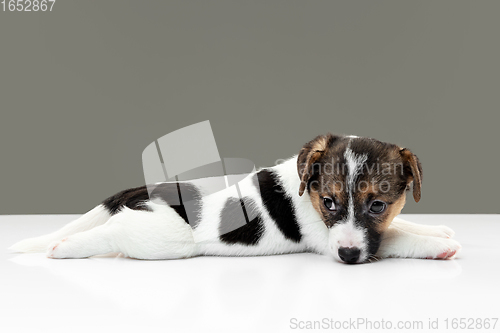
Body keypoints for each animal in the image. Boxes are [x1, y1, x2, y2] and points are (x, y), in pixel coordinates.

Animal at [9, 134, 460, 264]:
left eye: (377, 205)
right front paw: (438, 245)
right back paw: (64, 246)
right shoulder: (325, 236)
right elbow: (396, 239)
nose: (348, 258)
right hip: (163, 238)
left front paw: (438, 229)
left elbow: (399, 226)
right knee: (115, 229)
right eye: (329, 203)